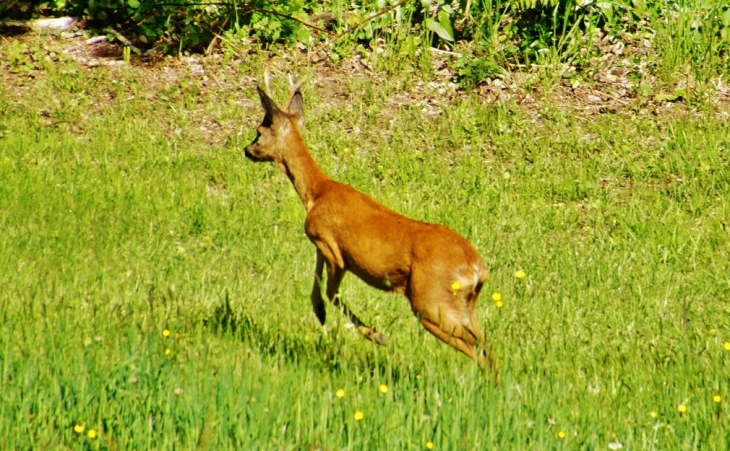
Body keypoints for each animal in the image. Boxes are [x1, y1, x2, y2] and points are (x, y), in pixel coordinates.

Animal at [242, 73, 498, 378]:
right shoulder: (322, 244)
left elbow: (331, 292)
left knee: (480, 349)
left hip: (429, 302)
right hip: (466, 304)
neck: (317, 193)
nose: (246, 150)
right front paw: (320, 312)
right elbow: (318, 286)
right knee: (487, 345)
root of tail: (477, 268)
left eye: (259, 130)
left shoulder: (333, 250)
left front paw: (376, 335)